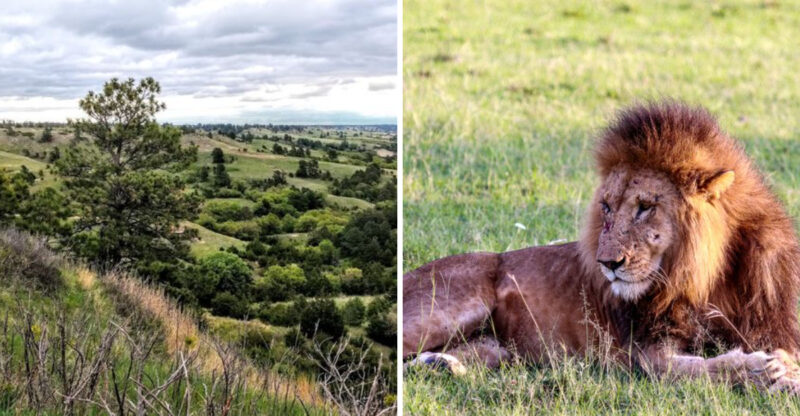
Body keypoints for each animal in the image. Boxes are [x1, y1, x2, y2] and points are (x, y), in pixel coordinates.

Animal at [403, 101, 800, 392]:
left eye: (645, 207)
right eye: (606, 207)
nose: (607, 263)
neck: (703, 278)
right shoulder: (644, 351)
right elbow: (692, 370)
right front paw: (763, 370)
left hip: (496, 349)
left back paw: (441, 365)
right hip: (450, 308)